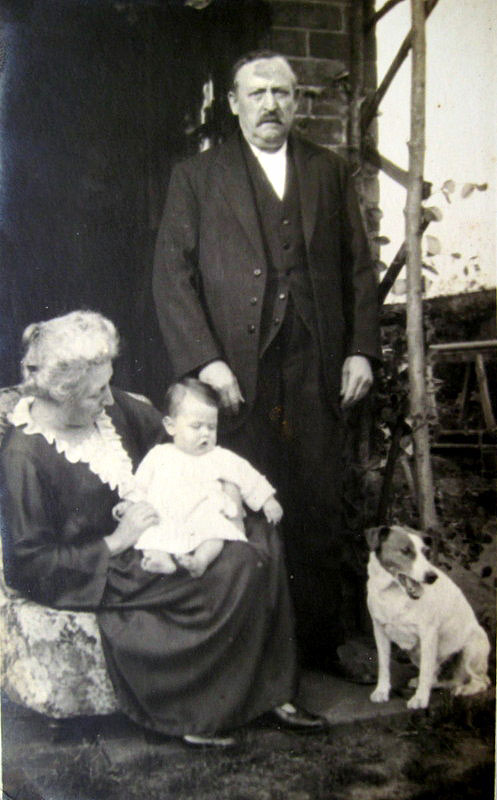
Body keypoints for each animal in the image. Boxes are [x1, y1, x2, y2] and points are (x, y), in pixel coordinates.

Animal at [364, 528, 488, 708]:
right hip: (416, 652)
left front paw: (420, 699)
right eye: (405, 551)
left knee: (481, 681)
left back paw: (464, 689)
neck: (393, 592)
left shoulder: (428, 634)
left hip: (471, 650)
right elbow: (383, 665)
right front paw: (382, 691)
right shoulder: (379, 631)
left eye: (426, 552)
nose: (432, 577)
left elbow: (425, 671)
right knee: (441, 677)